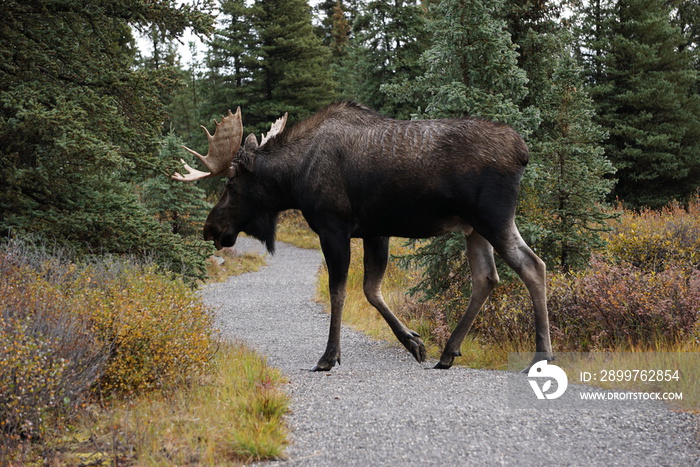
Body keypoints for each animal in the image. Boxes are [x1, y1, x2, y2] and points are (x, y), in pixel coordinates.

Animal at [174, 100, 552, 372]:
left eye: (230, 183)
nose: (211, 229)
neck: (293, 179)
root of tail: (523, 152)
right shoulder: (375, 231)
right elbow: (371, 289)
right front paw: (414, 342)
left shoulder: (333, 227)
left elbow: (338, 291)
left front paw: (329, 357)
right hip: (473, 228)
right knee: (486, 278)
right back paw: (448, 352)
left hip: (493, 218)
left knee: (533, 266)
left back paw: (541, 356)